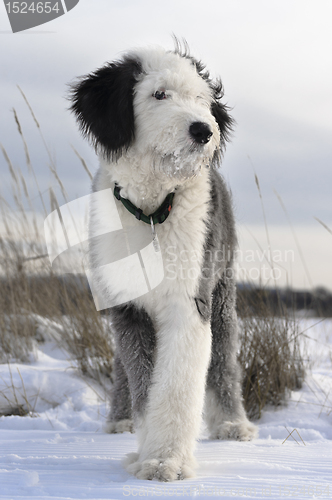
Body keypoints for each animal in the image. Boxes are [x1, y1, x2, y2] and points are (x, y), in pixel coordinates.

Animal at [69, 40, 256, 480]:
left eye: (201, 99)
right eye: (159, 94)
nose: (204, 130)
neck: (152, 210)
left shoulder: (189, 300)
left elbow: (176, 384)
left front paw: (164, 460)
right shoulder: (128, 306)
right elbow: (140, 378)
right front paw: (146, 444)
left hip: (222, 292)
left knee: (223, 360)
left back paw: (232, 423)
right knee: (121, 364)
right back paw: (119, 419)